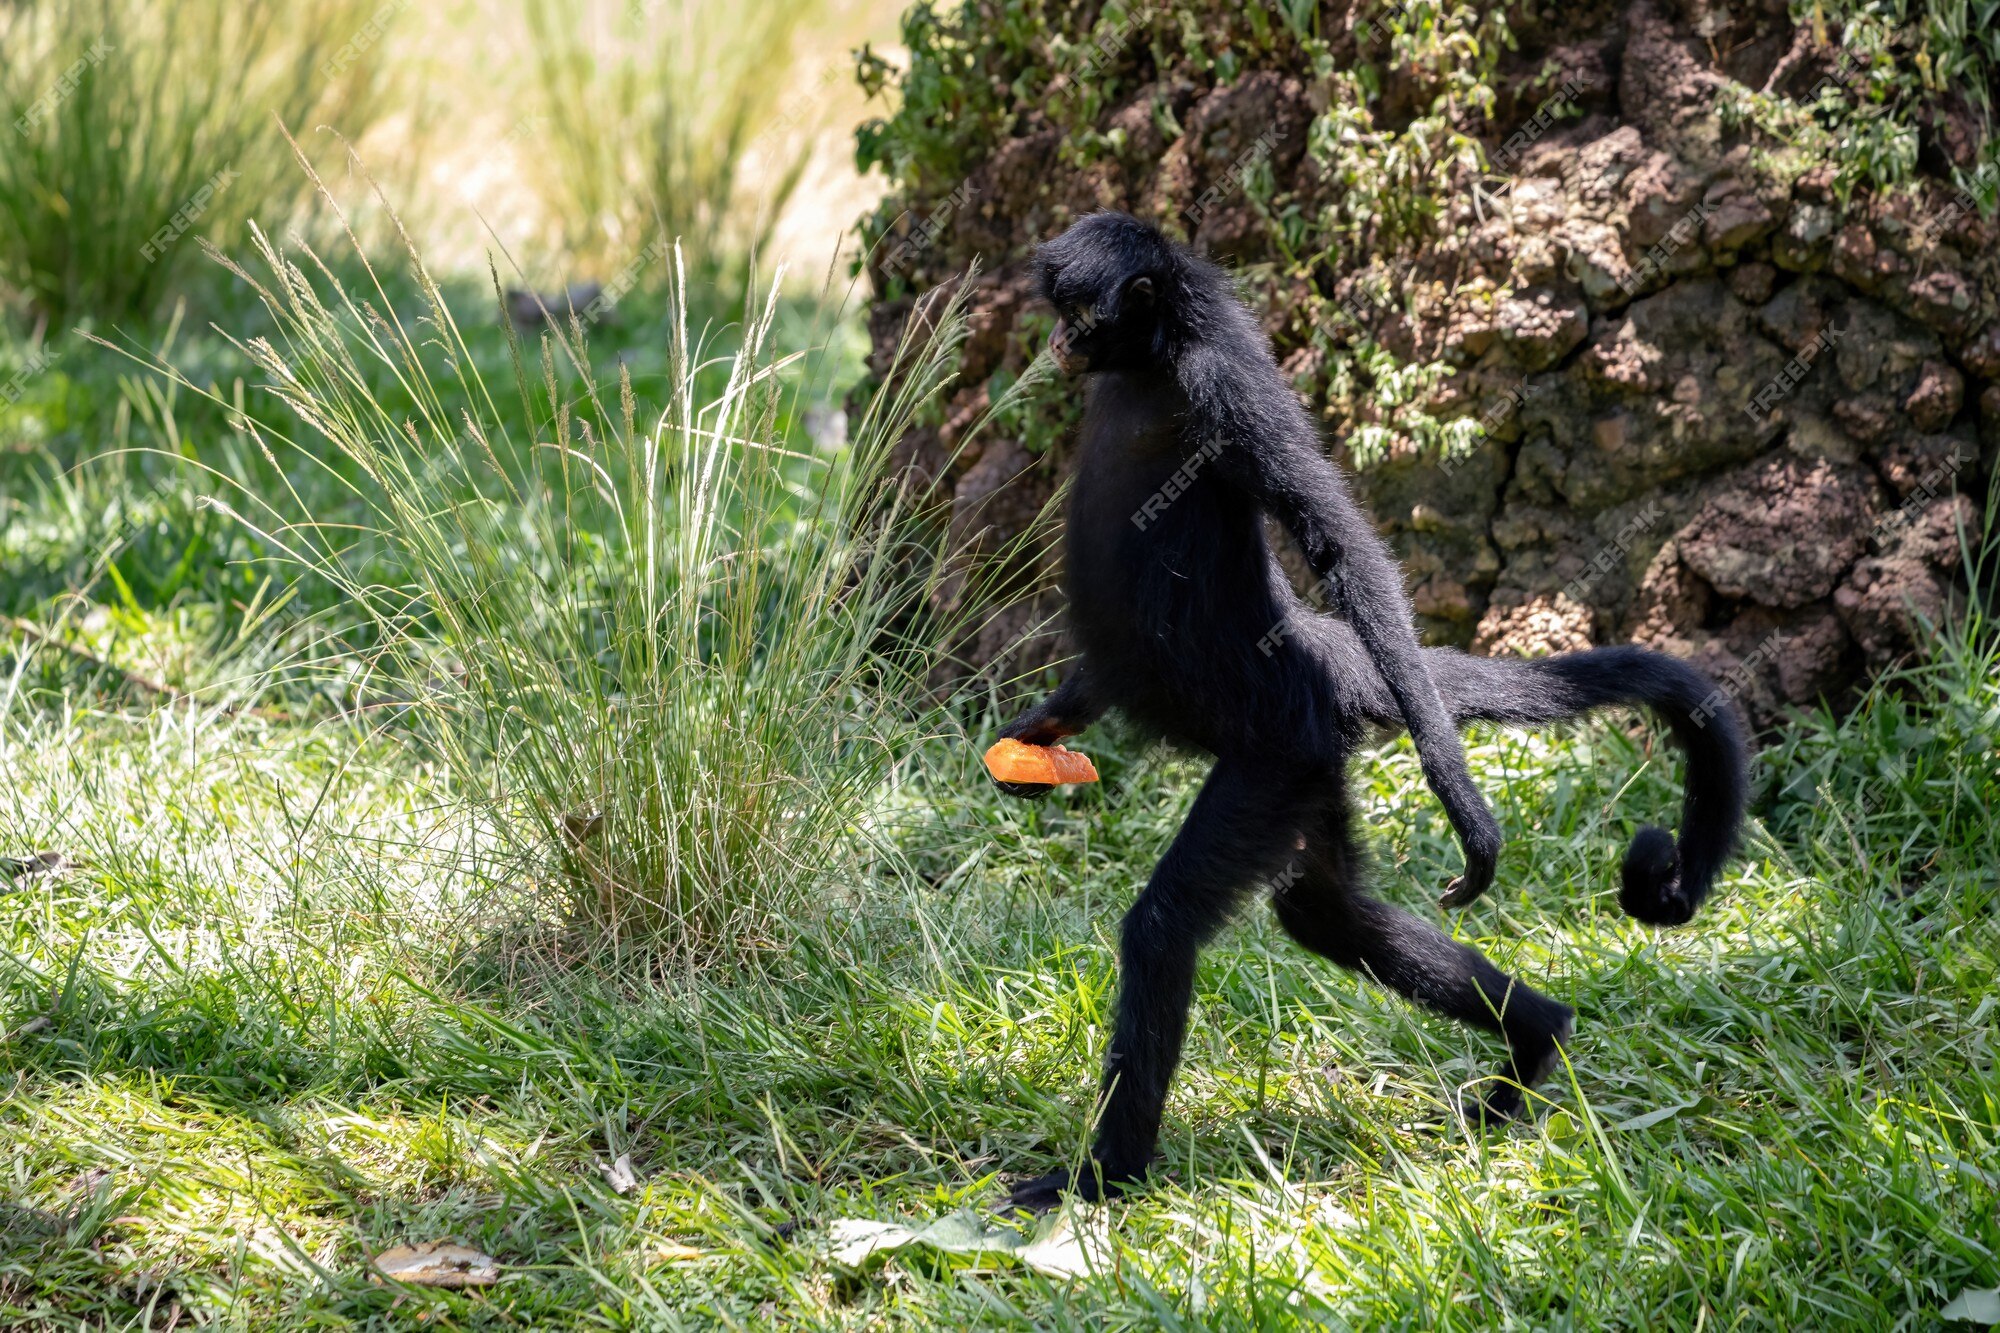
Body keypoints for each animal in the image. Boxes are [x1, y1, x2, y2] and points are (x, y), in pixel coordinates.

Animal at [1000, 213, 1752, 1208]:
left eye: (1079, 310)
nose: (1056, 341)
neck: (1159, 357)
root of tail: (1321, 656)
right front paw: (1040, 733)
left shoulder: (1225, 386)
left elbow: (1341, 543)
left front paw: (1458, 792)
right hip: (1311, 767)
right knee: (1328, 914)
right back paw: (1538, 1032)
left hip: (1275, 756)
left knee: (1170, 929)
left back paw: (1100, 1178)